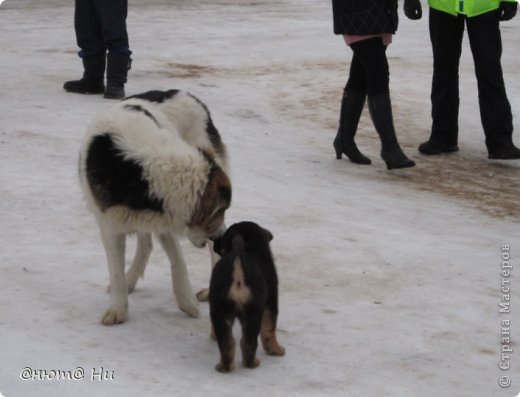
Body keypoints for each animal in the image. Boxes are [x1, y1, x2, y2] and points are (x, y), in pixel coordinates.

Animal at [78, 89, 230, 324]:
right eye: (218, 212)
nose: (221, 235)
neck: (140, 171)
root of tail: (187, 94)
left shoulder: (165, 219)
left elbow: (178, 261)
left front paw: (186, 301)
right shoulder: (112, 224)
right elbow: (116, 270)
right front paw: (118, 308)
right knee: (145, 245)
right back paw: (131, 279)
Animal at [208, 221, 284, 372]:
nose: (214, 240)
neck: (252, 246)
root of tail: (238, 259)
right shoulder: (271, 301)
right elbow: (270, 329)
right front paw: (276, 349)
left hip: (222, 311)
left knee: (228, 343)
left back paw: (225, 367)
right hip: (251, 312)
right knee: (247, 342)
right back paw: (251, 363)